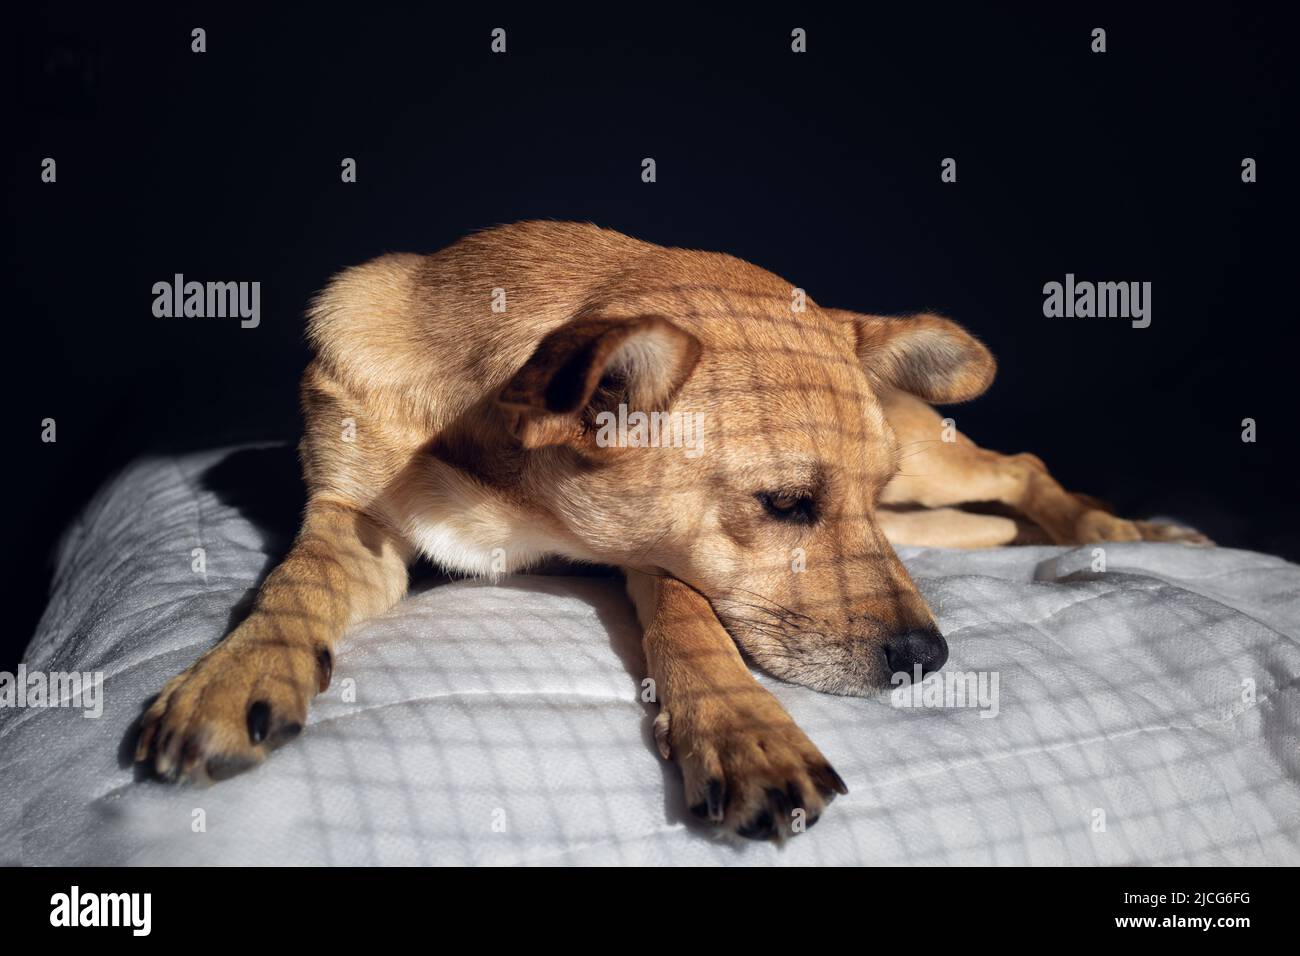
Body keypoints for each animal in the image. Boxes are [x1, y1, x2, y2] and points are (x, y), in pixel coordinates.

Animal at [131, 221, 1206, 842]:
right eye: (785, 505)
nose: (929, 659)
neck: (504, 472)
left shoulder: (651, 556)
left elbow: (691, 618)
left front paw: (741, 728)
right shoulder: (351, 520)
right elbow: (291, 586)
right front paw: (236, 673)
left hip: (924, 470)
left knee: (1020, 467)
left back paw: (1122, 528)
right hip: (927, 518)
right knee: (987, 520)